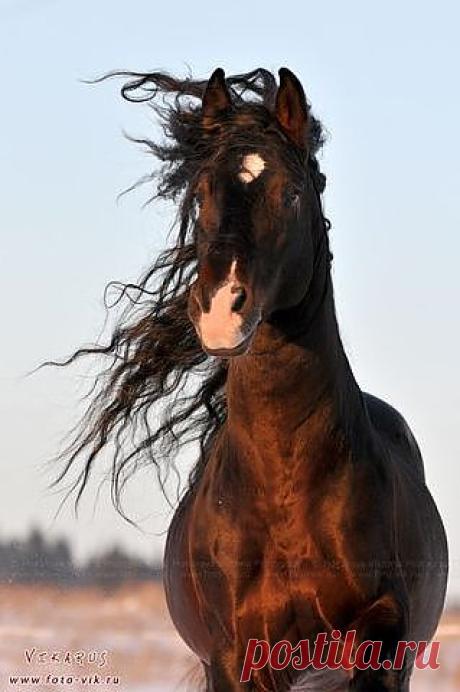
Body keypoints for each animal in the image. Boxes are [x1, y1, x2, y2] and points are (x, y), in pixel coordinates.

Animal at [54, 67, 448, 690]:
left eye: (291, 193)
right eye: (201, 193)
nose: (220, 308)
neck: (285, 495)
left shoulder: (379, 642)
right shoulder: (236, 658)